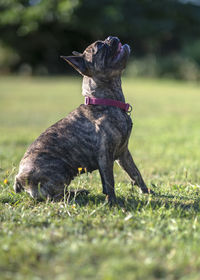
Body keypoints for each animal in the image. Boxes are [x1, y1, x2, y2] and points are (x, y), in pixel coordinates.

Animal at [13, 36, 152, 205]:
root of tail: (19, 179)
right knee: (56, 197)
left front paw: (146, 192)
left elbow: (135, 173)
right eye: (99, 46)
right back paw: (77, 193)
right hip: (60, 170)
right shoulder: (105, 155)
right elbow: (109, 180)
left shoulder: (123, 153)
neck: (104, 101)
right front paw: (113, 202)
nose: (111, 37)